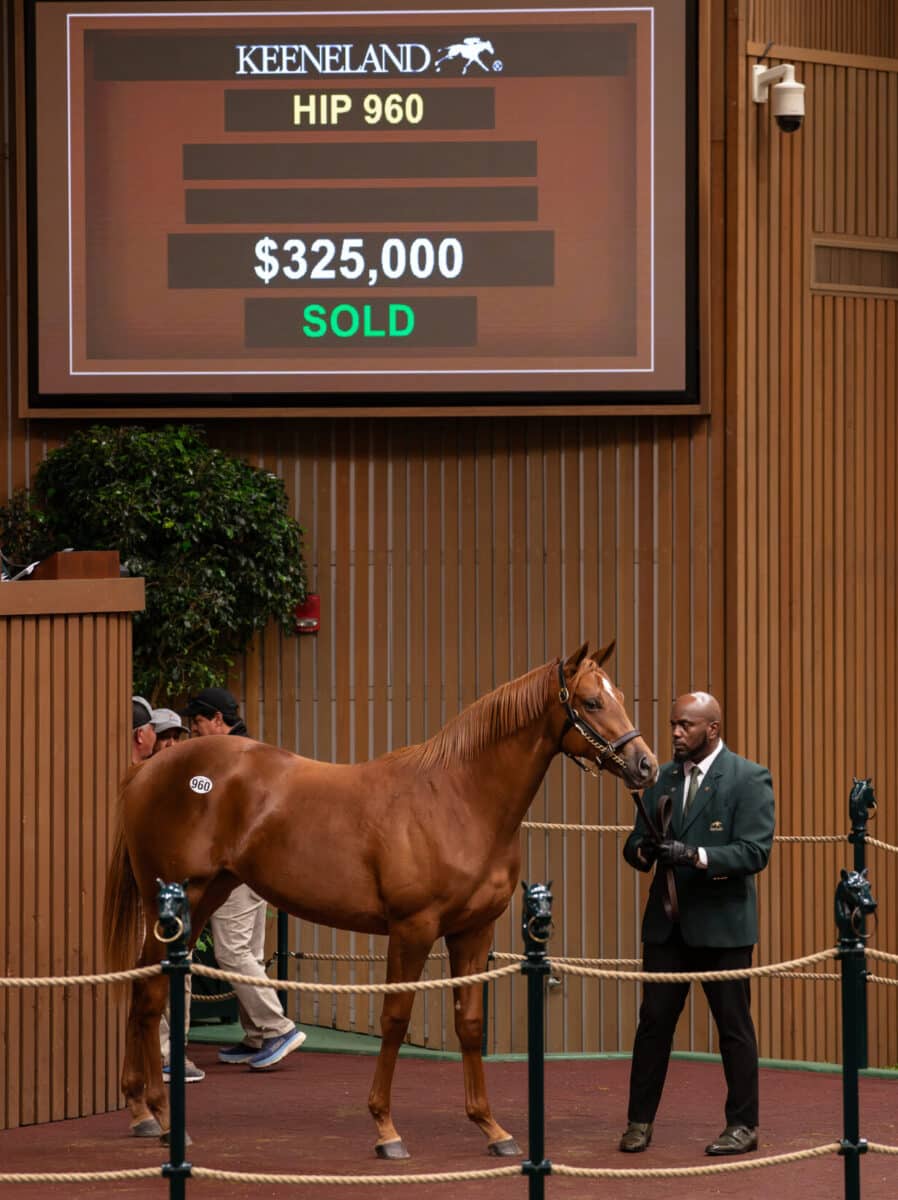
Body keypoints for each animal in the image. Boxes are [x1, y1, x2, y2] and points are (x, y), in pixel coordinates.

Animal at [105, 643, 657, 1156]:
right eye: (591, 701)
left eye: (620, 696)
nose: (645, 765)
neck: (459, 799)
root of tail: (149, 771)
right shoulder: (412, 929)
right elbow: (395, 1018)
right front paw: (386, 1129)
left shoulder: (474, 932)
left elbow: (470, 1023)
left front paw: (492, 1128)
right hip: (180, 903)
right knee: (150, 994)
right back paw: (164, 1118)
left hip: (206, 897)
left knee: (144, 987)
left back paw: (141, 1111)